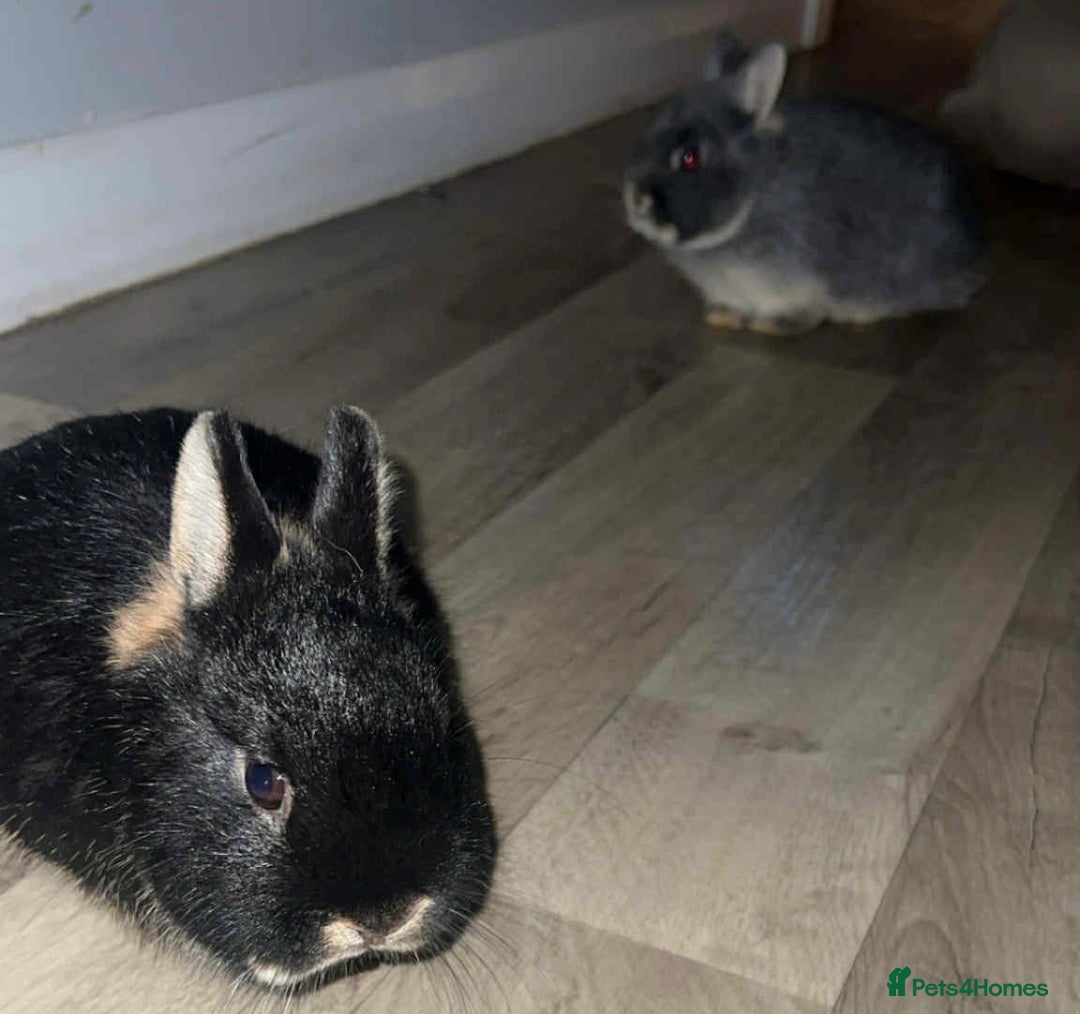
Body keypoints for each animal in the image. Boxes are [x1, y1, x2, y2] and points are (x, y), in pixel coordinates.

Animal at [623, 28, 987, 334]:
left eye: (690, 158)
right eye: (648, 133)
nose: (636, 199)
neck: (757, 191)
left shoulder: (801, 285)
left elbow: (804, 314)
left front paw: (767, 326)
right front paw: (721, 316)